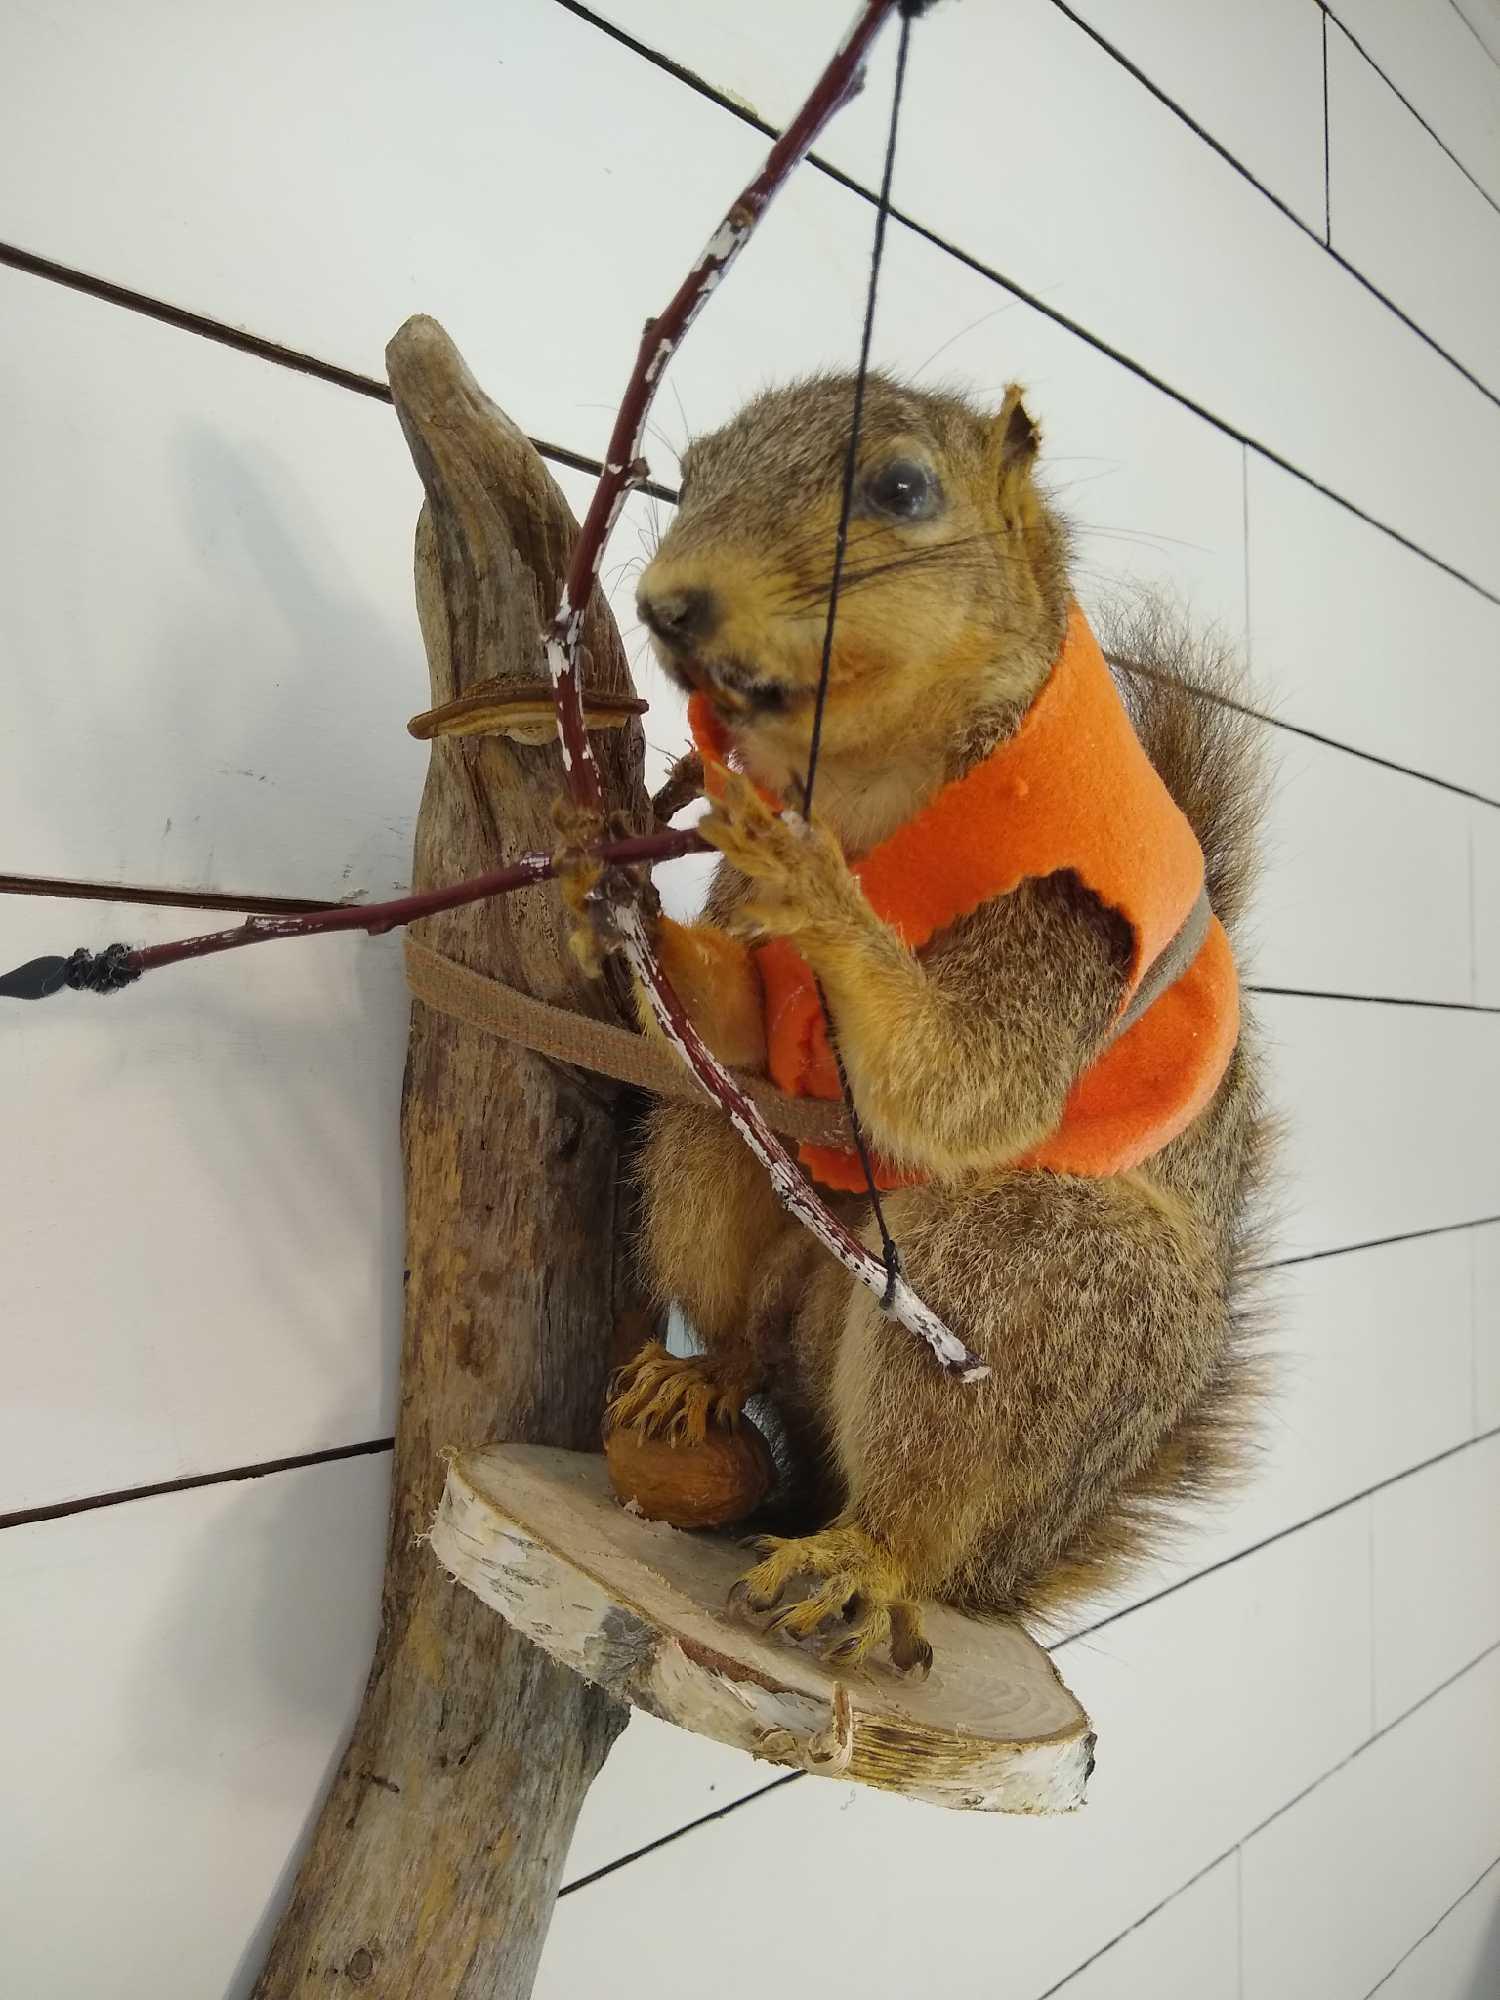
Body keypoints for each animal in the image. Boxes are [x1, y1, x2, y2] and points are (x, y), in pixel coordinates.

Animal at [606, 370, 1272, 1675]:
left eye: (904, 487)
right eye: (690, 469)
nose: (667, 603)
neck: (869, 782)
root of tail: (1007, 1568)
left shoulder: (1066, 926)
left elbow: (970, 1085)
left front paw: (824, 893)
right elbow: (734, 1018)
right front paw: (609, 896)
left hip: (1034, 1285)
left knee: (924, 1500)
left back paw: (865, 1558)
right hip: (723, 1163)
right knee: (740, 1276)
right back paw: (702, 1377)